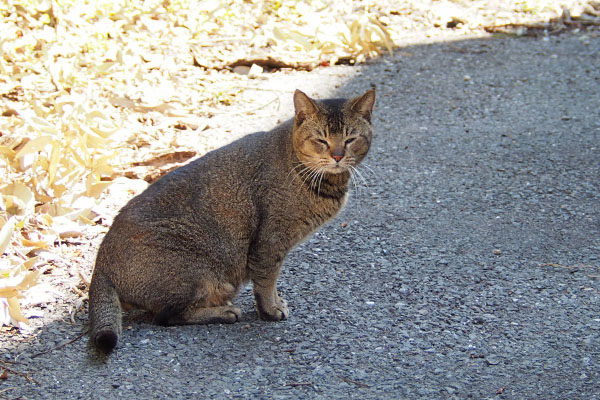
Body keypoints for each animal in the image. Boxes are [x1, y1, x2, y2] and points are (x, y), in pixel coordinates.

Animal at [89, 88, 376, 354]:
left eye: (350, 139)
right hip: (198, 272)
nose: (337, 156)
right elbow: (266, 280)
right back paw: (223, 312)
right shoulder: (270, 241)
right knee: (165, 317)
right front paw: (271, 310)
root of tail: (100, 264)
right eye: (321, 140)